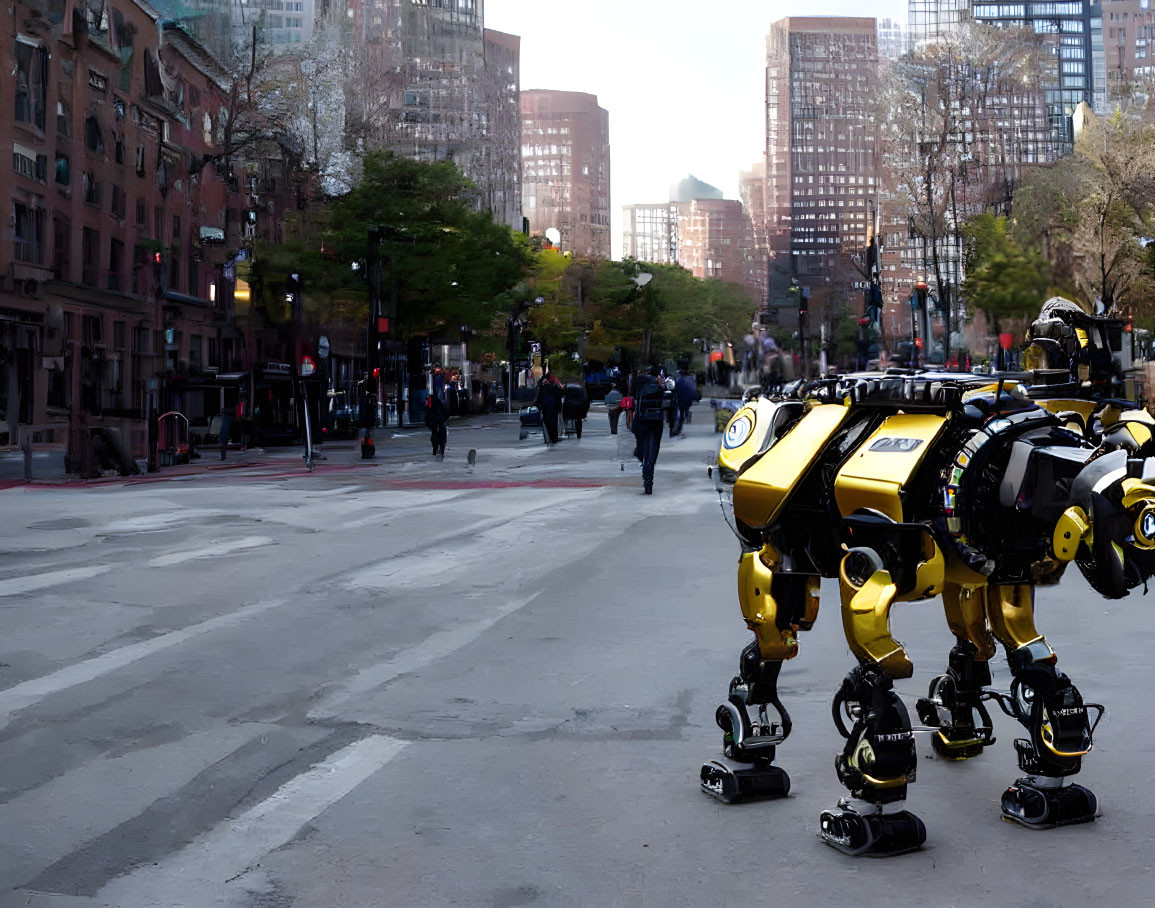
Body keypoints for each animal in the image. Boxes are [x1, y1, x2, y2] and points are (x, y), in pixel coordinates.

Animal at [702, 371, 1155, 854]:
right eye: (1137, 520)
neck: (1010, 467)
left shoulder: (1003, 569)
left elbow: (1030, 655)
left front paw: (1048, 782)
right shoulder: (872, 555)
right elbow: (878, 668)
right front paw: (866, 811)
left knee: (973, 643)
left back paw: (958, 728)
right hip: (773, 540)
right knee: (774, 635)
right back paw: (741, 752)